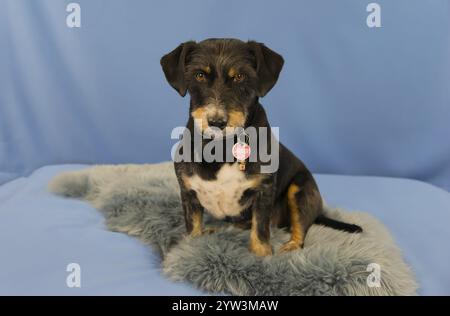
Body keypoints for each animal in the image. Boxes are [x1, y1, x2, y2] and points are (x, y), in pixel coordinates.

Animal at [160, 39, 360, 256]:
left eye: (240, 76)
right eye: (199, 75)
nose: (216, 121)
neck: (221, 148)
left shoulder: (264, 190)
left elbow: (261, 227)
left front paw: (261, 254)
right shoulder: (188, 192)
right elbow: (193, 226)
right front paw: (192, 245)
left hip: (301, 190)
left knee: (301, 226)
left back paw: (291, 246)